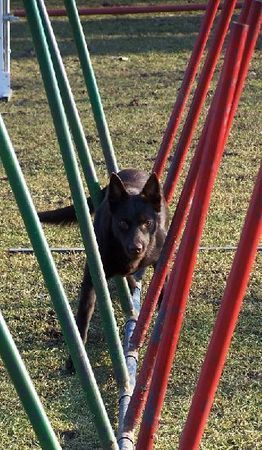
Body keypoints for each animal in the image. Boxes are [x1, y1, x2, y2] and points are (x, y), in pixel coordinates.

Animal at [39, 169, 170, 348]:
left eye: (147, 222)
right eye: (123, 223)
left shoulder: (159, 256)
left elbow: (162, 281)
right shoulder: (93, 274)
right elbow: (84, 311)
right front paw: (77, 351)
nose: (136, 248)